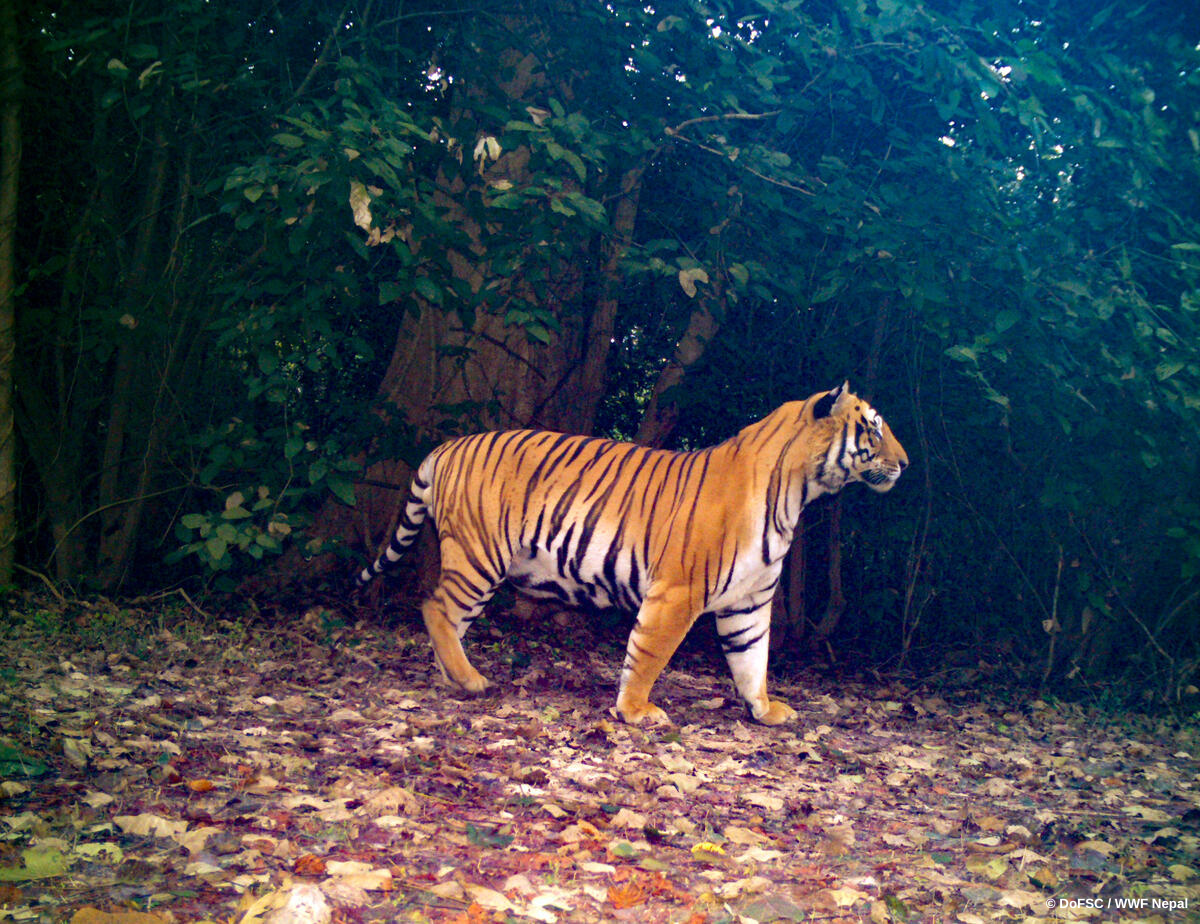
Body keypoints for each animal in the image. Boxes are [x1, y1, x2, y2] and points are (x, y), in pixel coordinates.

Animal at [357, 382, 907, 726]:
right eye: (875, 429)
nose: (906, 464)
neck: (797, 492)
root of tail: (446, 446)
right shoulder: (678, 591)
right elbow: (648, 653)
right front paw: (637, 711)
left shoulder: (748, 602)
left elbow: (753, 659)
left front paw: (765, 709)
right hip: (479, 555)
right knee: (435, 607)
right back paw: (470, 680)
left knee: (448, 620)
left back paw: (452, 675)